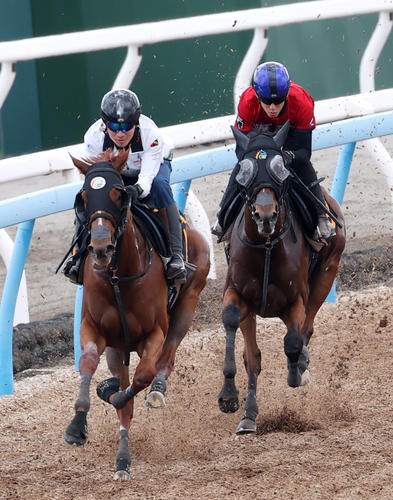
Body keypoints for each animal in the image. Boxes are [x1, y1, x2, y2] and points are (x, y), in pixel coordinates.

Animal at [64, 150, 210, 478]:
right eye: (84, 197)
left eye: (117, 195)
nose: (101, 247)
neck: (118, 276)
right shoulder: (95, 328)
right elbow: (88, 362)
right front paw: (77, 425)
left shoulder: (152, 333)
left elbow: (142, 377)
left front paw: (117, 394)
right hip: (118, 348)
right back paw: (122, 459)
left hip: (187, 305)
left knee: (166, 359)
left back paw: (156, 391)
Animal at [219, 124, 344, 434]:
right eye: (244, 171)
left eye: (282, 170)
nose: (265, 215)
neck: (266, 247)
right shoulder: (238, 294)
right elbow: (245, 346)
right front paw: (233, 401)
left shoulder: (295, 300)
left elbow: (294, 342)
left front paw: (297, 371)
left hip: (327, 272)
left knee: (307, 328)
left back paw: (301, 365)